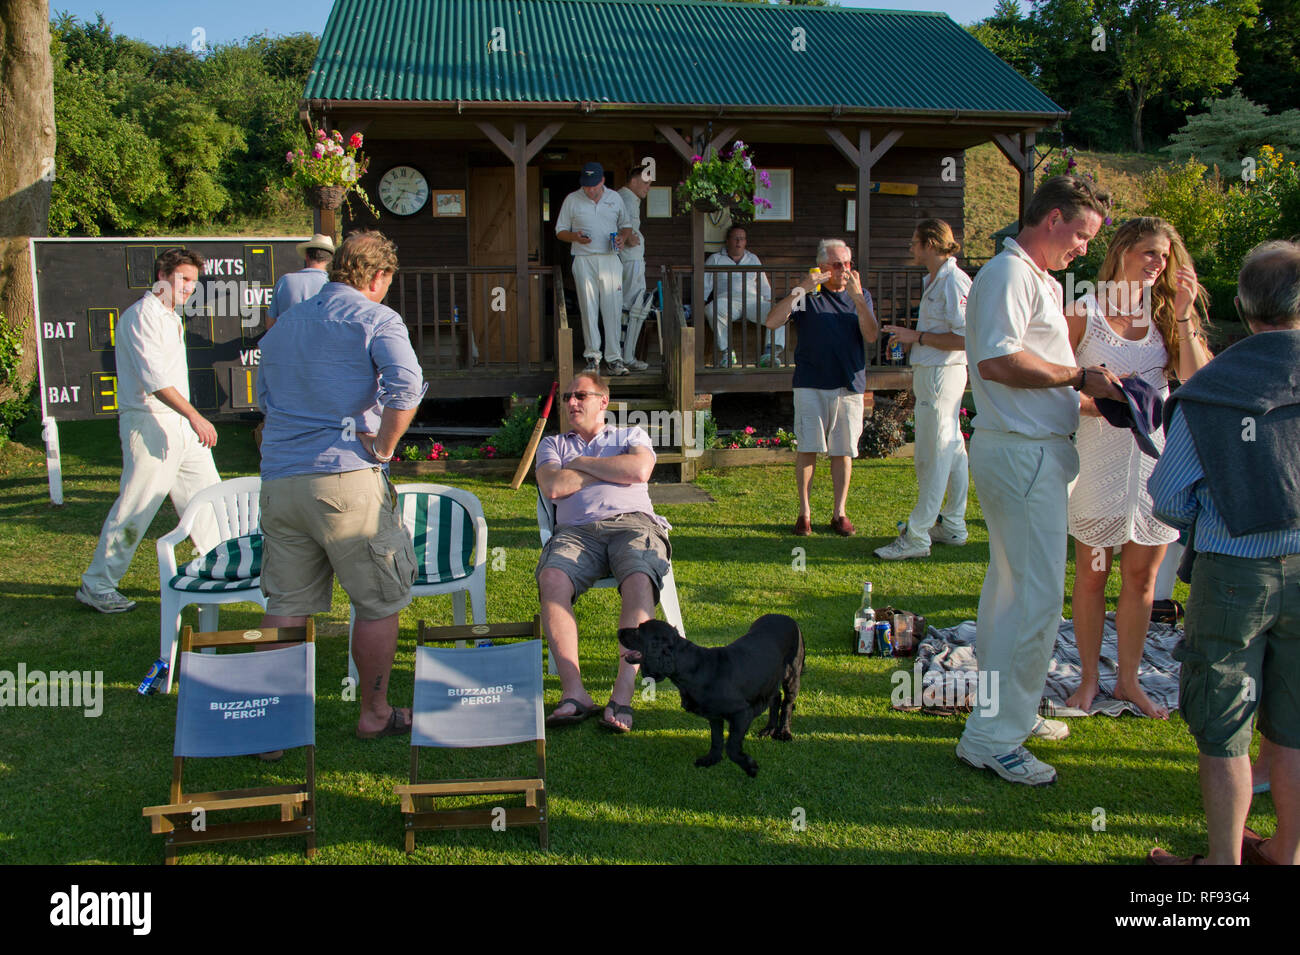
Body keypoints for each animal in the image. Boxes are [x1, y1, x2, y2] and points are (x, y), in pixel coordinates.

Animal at [616, 613, 800, 779]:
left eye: (638, 631)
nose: (618, 631)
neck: (694, 668)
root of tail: (786, 617)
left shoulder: (742, 713)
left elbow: (732, 747)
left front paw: (750, 767)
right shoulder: (714, 715)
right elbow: (717, 739)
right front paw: (712, 760)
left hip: (792, 675)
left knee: (787, 704)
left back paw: (784, 732)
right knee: (776, 697)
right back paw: (769, 729)